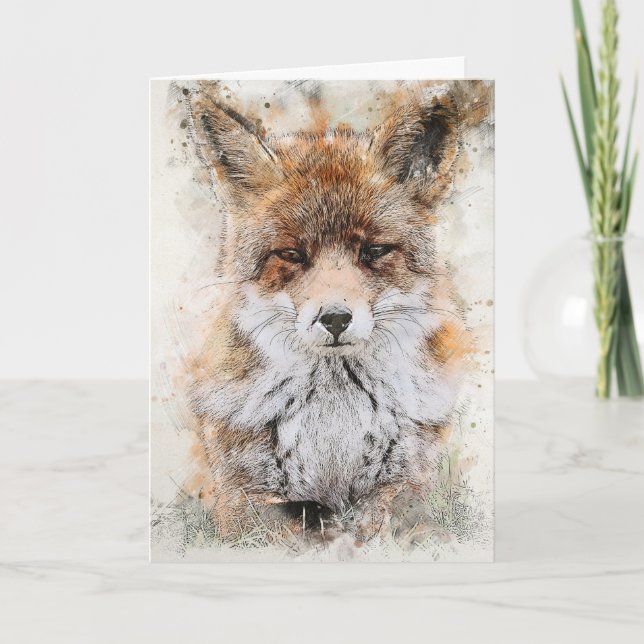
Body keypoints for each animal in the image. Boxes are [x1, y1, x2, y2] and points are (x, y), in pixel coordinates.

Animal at [181, 83, 471, 543]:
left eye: (374, 250)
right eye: (290, 254)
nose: (335, 319)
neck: (335, 421)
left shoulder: (401, 488)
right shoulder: (250, 503)